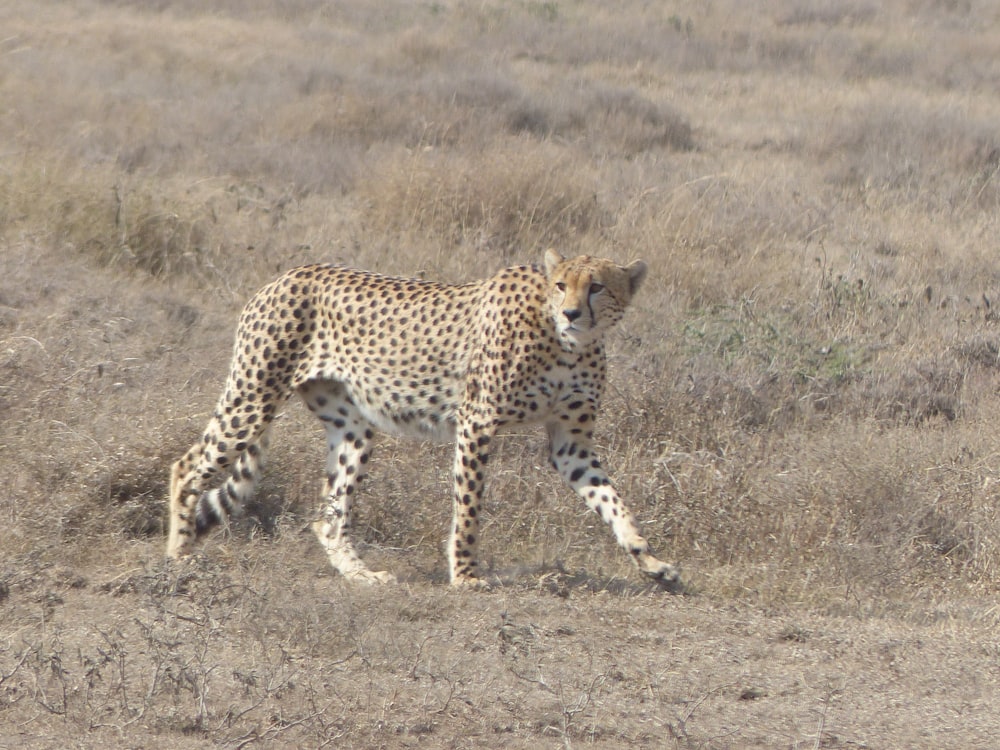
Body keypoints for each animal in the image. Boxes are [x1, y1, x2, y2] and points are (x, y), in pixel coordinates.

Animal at [168, 250, 680, 592]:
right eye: (561, 285)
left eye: (597, 286)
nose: (572, 312)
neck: (568, 343)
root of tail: (286, 275)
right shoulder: (477, 422)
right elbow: (469, 507)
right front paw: (466, 574)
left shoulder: (570, 444)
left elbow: (613, 501)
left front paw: (650, 560)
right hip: (253, 398)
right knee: (186, 466)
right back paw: (178, 557)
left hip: (353, 428)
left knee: (329, 516)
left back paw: (361, 575)